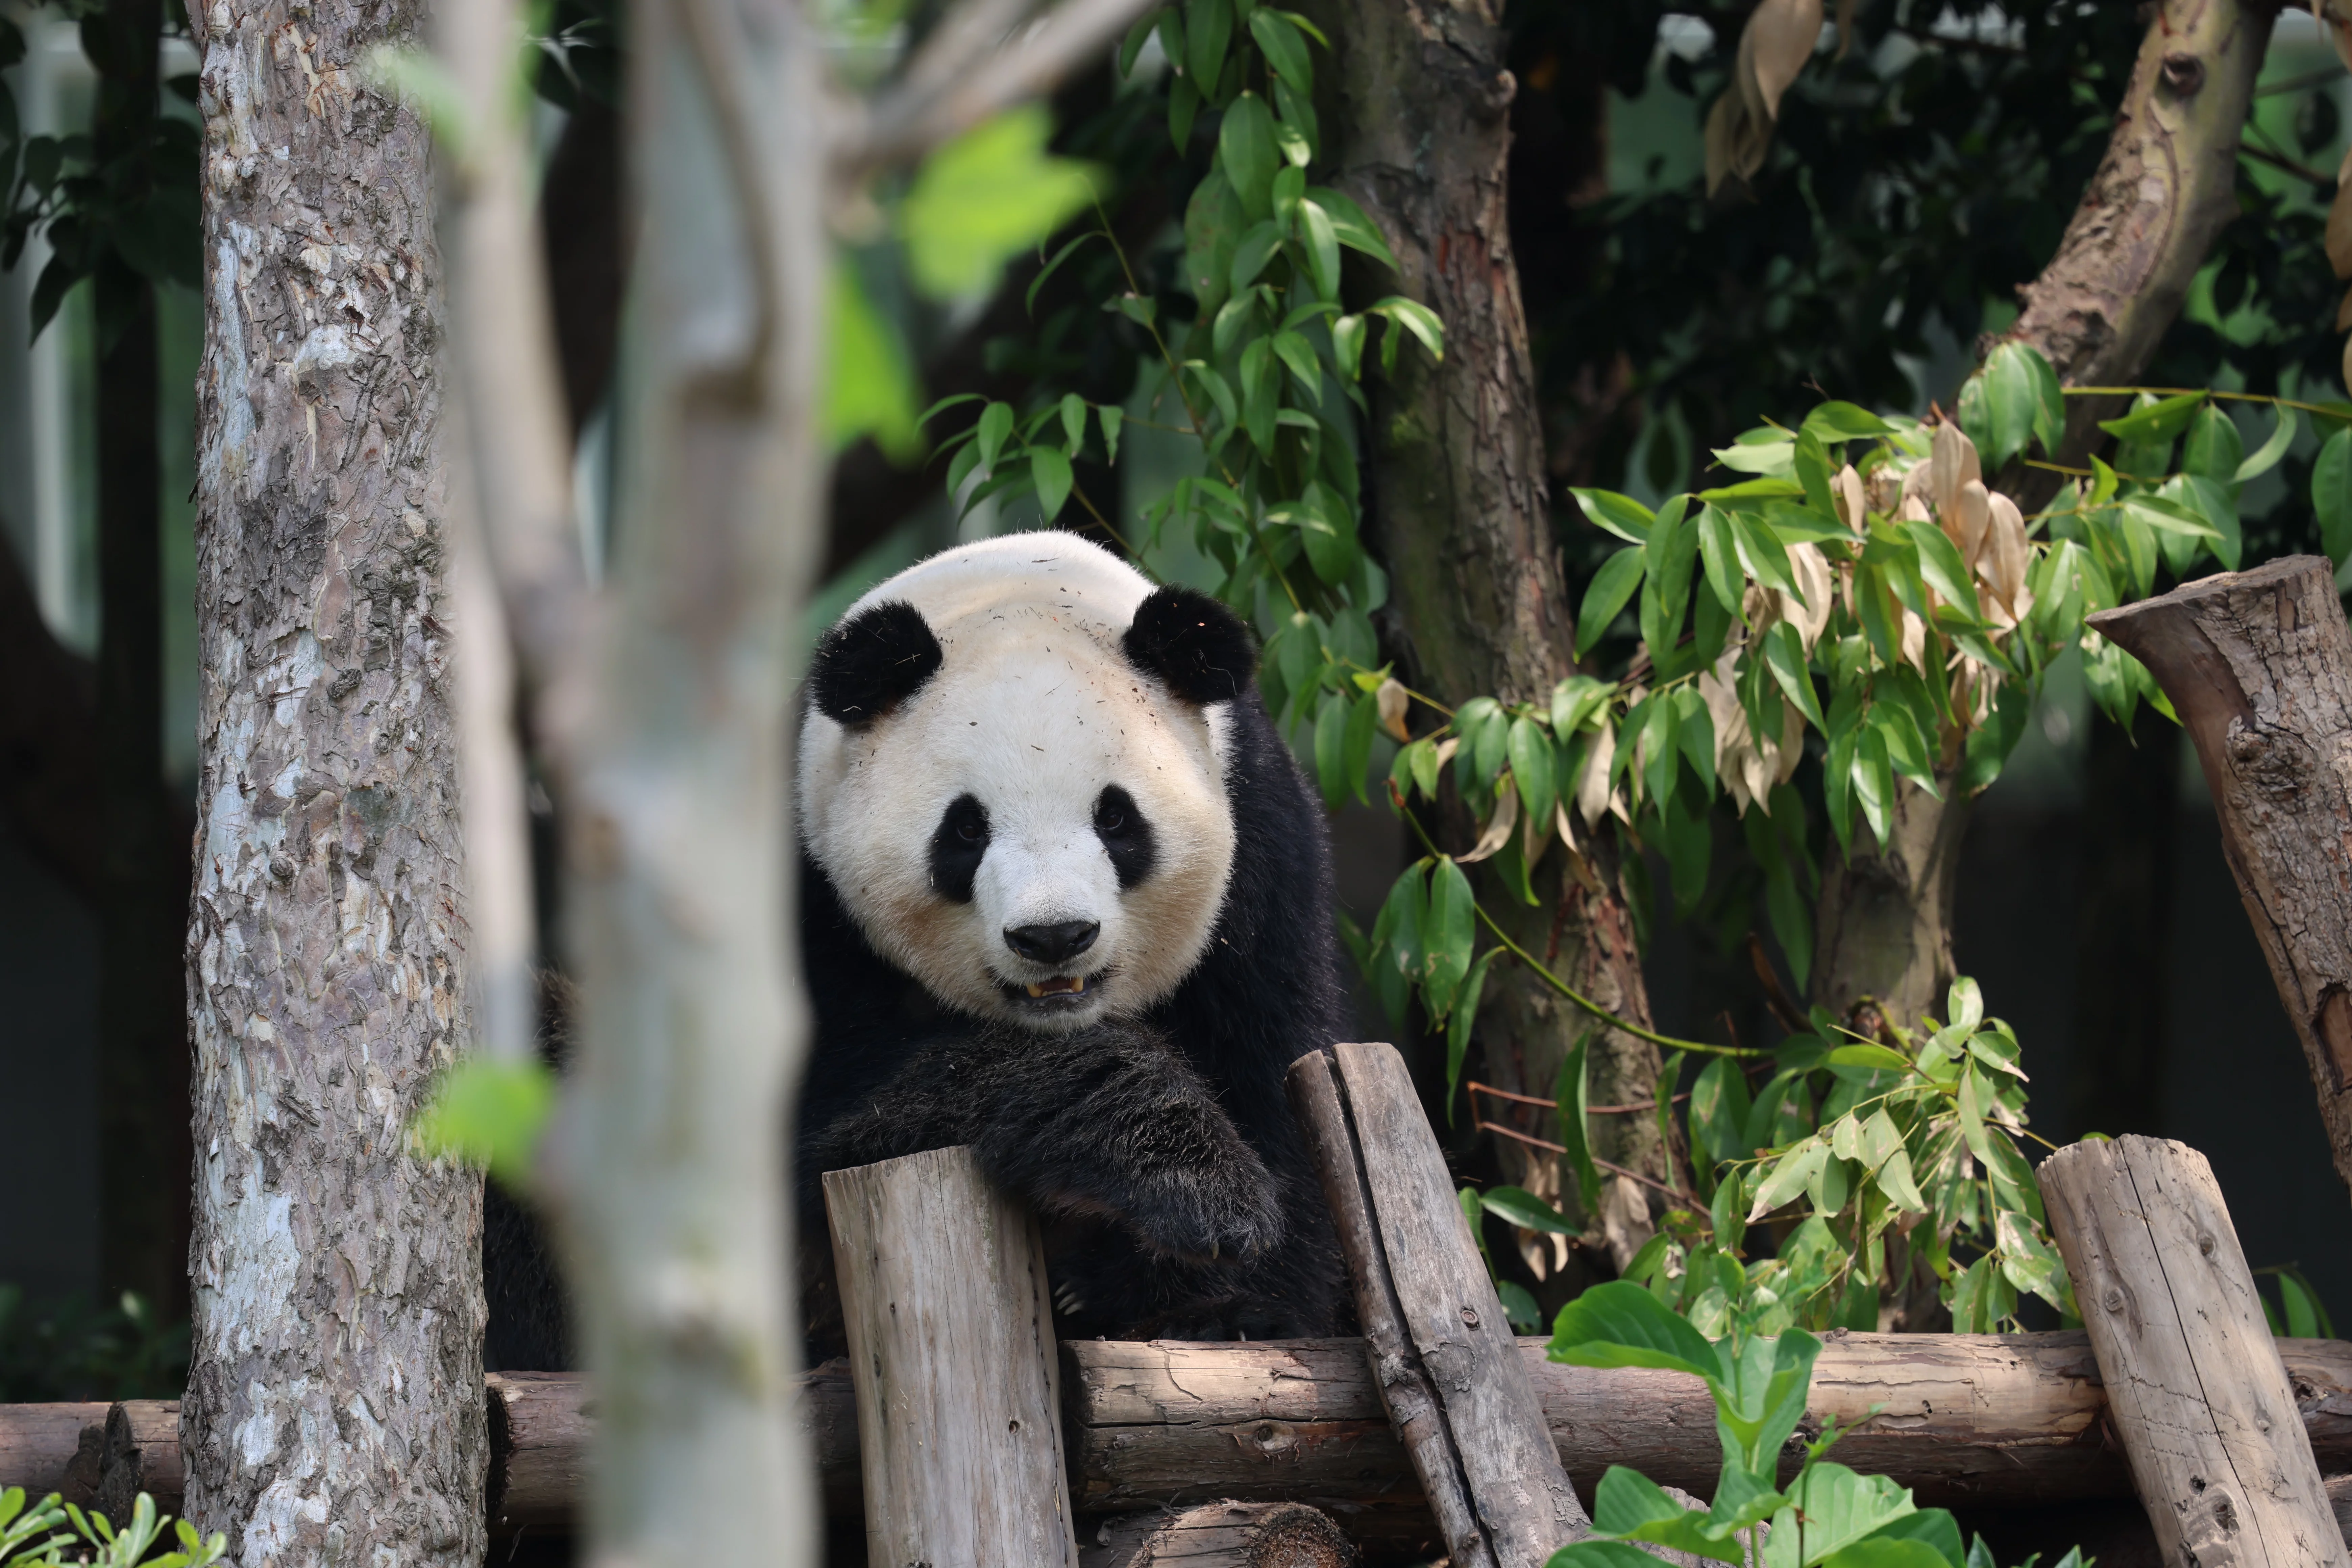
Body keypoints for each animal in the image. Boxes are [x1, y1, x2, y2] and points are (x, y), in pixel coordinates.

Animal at [793, 532, 1351, 1345]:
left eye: (1116, 818)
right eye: (966, 829)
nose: (1055, 936)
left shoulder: (1264, 844)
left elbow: (1274, 1067)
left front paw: (1210, 1293)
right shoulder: (810, 890)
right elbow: (833, 1122)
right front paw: (1177, 1175)